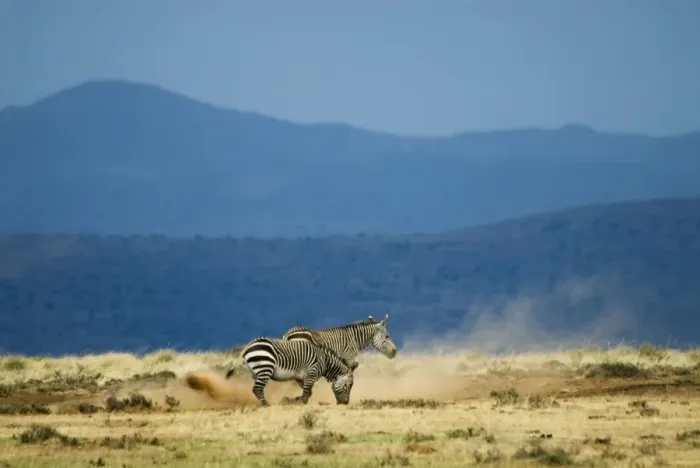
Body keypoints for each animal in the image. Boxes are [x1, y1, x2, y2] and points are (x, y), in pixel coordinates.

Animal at [225, 337, 355, 406]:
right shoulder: (311, 373)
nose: (345, 403)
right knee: (257, 389)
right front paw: (300, 403)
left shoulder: (301, 378)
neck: (325, 361)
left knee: (256, 389)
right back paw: (266, 405)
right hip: (265, 368)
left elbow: (308, 392)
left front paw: (294, 400)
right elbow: (307, 392)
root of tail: (247, 346)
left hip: (256, 372)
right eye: (348, 385)